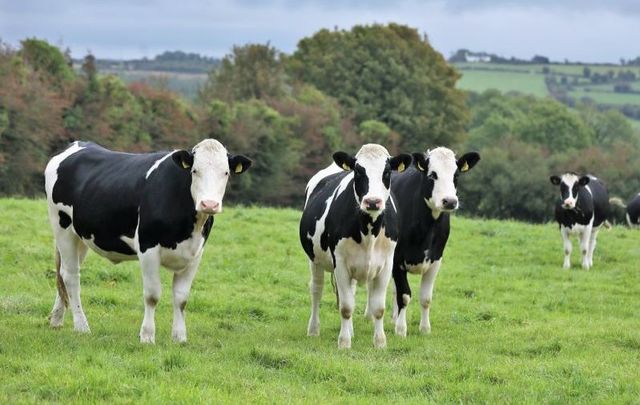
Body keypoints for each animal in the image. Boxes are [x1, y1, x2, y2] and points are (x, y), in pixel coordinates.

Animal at [43, 139, 250, 340]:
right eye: (194, 171)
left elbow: (181, 298)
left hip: (81, 235)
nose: (209, 204)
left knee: (63, 272)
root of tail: (76, 145)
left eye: (225, 173)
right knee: (71, 276)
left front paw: (179, 337)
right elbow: (152, 296)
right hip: (61, 226)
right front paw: (147, 336)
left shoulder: (195, 253)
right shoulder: (148, 247)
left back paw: (56, 320)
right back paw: (82, 326)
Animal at [298, 144, 410, 348]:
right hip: (315, 259)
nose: (372, 202)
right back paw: (314, 329)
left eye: (387, 172)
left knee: (349, 291)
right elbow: (346, 307)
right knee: (316, 290)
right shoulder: (340, 263)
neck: (369, 230)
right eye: (358, 172)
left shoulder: (387, 264)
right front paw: (344, 343)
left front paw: (380, 342)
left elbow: (378, 308)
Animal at [388, 147, 478, 336]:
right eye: (432, 175)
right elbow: (404, 295)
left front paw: (424, 328)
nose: (450, 201)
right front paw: (401, 329)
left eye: (456, 175)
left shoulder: (436, 258)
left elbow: (426, 298)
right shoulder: (397, 259)